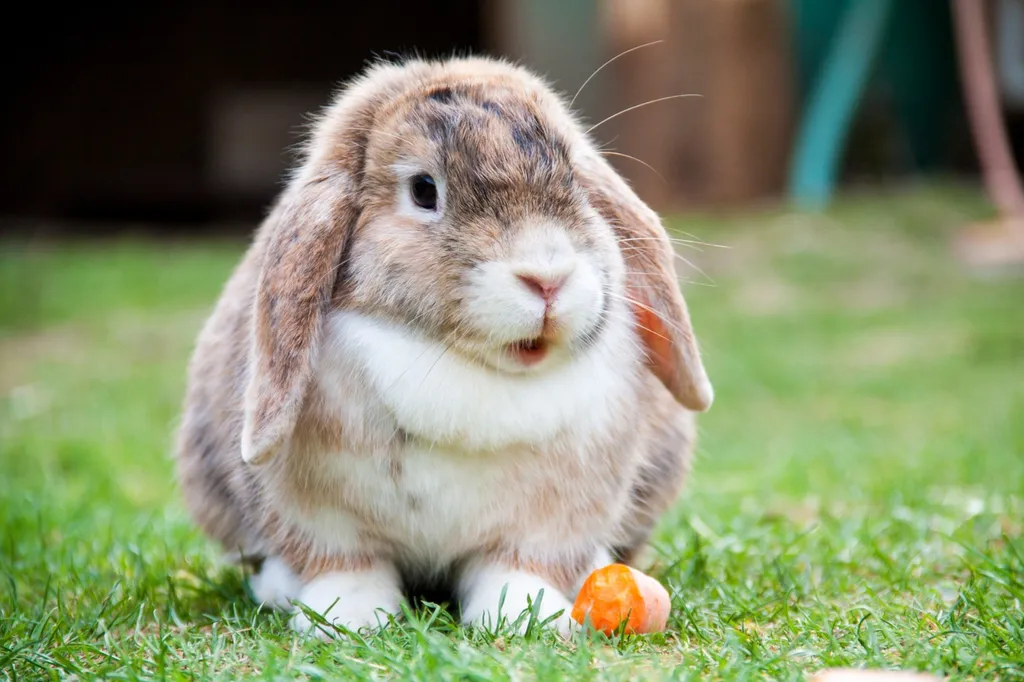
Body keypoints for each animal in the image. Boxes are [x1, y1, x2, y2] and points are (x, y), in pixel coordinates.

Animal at [174, 54, 713, 640]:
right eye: (423, 190)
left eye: (573, 176)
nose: (547, 278)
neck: (464, 367)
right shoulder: (320, 519)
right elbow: (346, 566)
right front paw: (348, 620)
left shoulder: (550, 522)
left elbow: (518, 568)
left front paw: (524, 618)